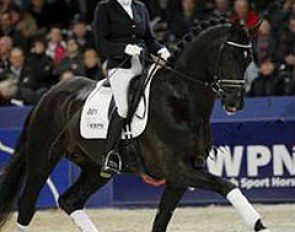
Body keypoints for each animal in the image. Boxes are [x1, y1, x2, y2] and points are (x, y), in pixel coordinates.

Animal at [0, 18, 270, 232]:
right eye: (229, 56)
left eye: (249, 59)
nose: (234, 103)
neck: (180, 100)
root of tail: (49, 94)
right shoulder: (176, 170)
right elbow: (227, 185)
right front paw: (258, 223)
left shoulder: (179, 178)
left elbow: (161, 221)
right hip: (42, 159)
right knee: (27, 205)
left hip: (96, 168)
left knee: (70, 201)